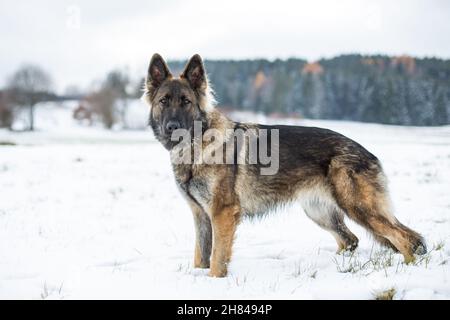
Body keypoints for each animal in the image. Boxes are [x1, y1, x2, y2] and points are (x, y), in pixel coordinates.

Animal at [143, 53, 426, 276]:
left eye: (186, 102)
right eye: (163, 101)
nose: (172, 128)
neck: (197, 145)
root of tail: (368, 152)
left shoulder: (222, 214)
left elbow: (217, 259)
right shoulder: (201, 215)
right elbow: (201, 256)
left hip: (358, 208)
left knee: (405, 238)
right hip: (320, 212)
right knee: (352, 240)